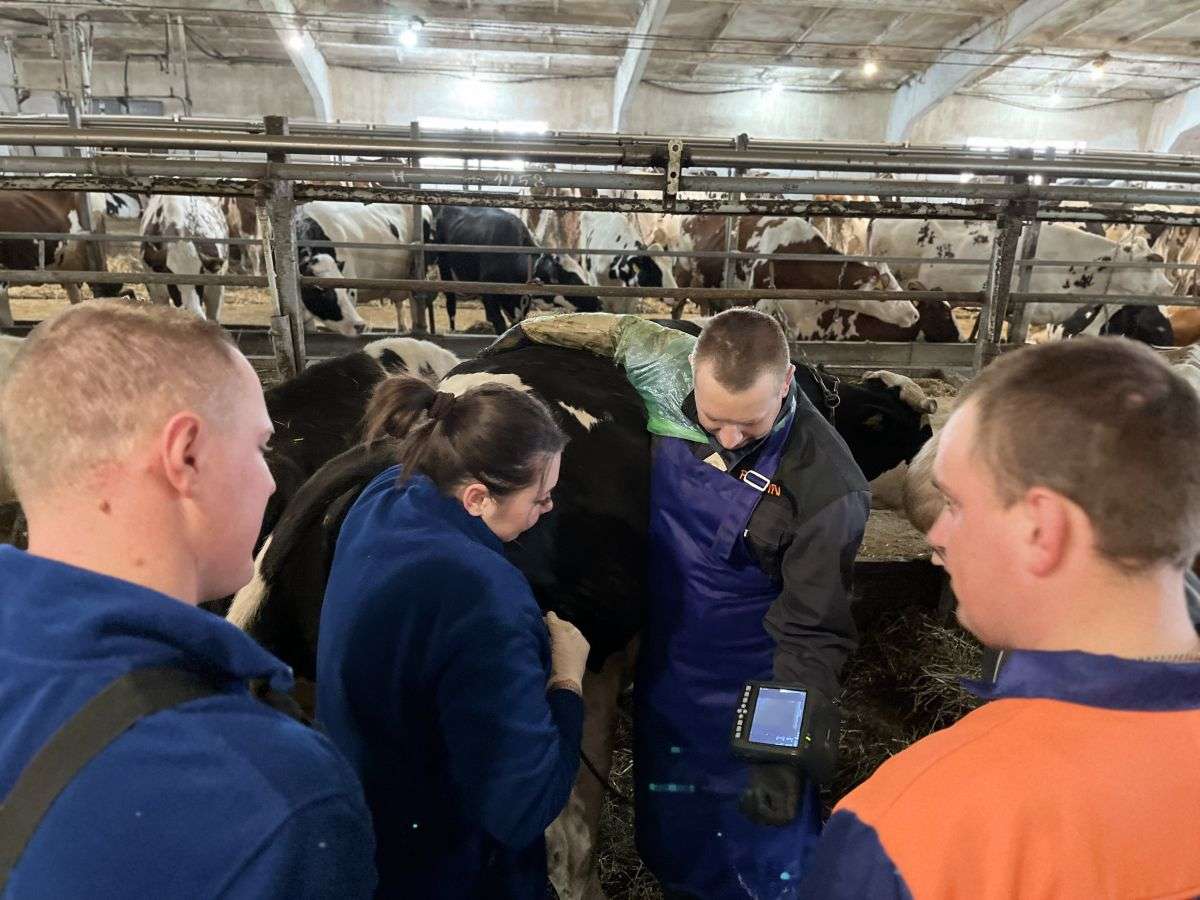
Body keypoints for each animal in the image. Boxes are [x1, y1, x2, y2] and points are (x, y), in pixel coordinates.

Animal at [429, 205, 600, 335]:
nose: (597, 303)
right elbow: (499, 322)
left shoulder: (519, 301)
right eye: (573, 279)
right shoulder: (489, 293)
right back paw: (452, 329)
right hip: (444, 268)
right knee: (450, 301)